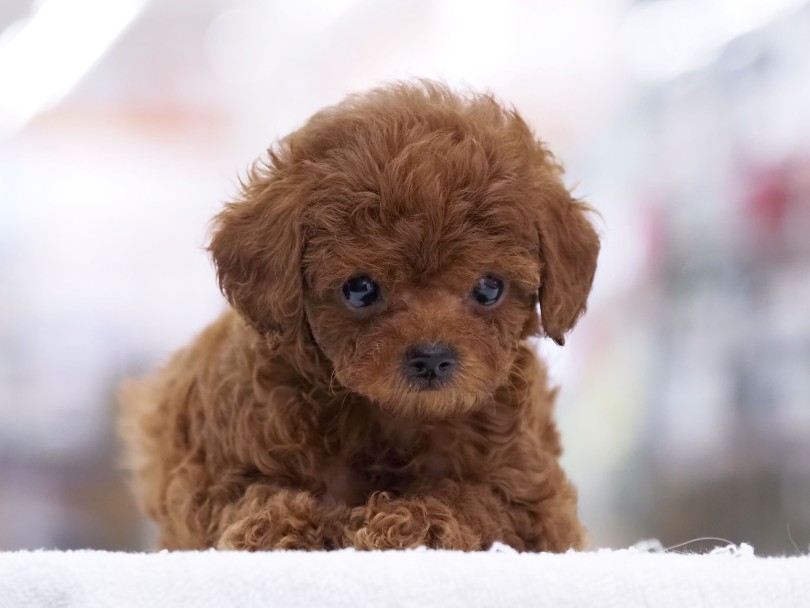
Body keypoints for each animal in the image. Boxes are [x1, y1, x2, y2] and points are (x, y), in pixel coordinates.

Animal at [121, 79, 600, 552]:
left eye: (489, 288)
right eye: (360, 289)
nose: (432, 359)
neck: (388, 418)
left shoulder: (535, 502)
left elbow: (476, 503)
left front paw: (406, 523)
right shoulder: (211, 476)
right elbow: (246, 495)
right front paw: (277, 525)